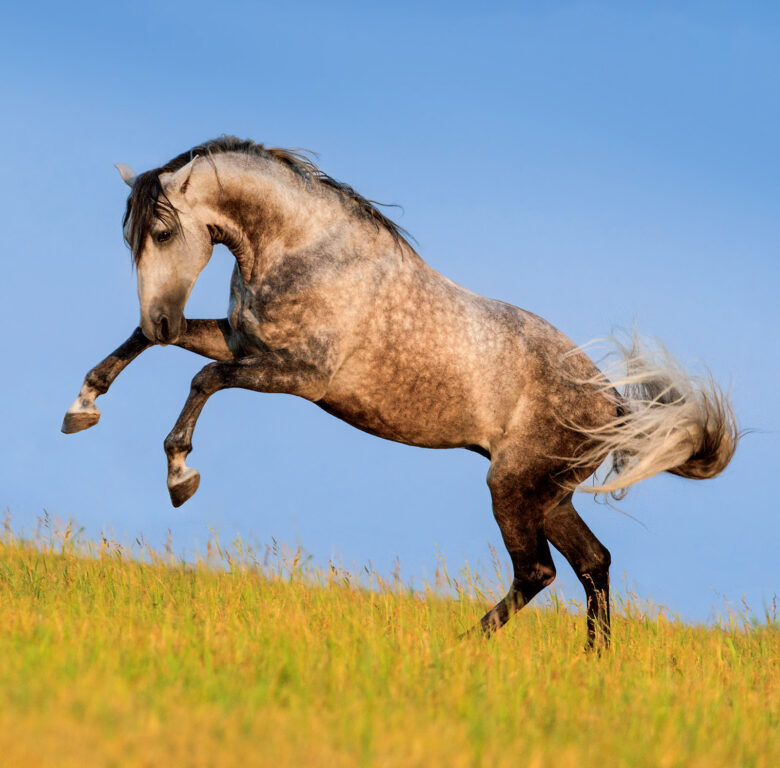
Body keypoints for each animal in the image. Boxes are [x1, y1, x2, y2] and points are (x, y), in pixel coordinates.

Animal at [62, 137, 738, 648]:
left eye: (163, 232)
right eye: (133, 238)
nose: (160, 316)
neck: (305, 251)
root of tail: (613, 405)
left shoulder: (297, 376)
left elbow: (201, 379)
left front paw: (181, 475)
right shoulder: (238, 341)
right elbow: (153, 349)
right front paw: (82, 408)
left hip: (513, 486)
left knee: (538, 571)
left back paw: (460, 648)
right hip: (549, 493)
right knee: (592, 565)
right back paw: (591, 666)